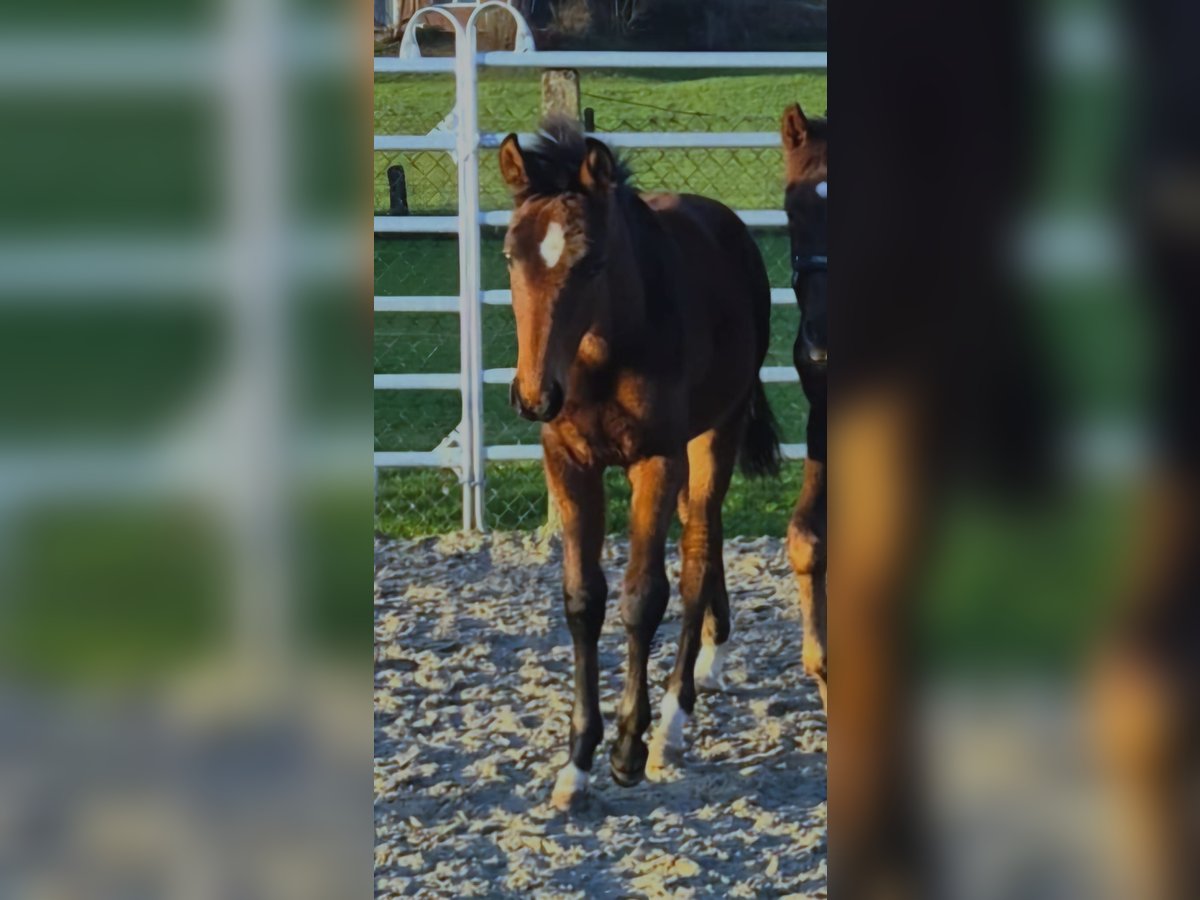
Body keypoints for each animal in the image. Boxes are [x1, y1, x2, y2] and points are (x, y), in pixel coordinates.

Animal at [494, 114, 777, 811]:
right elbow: (582, 600)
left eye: (591, 261)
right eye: (511, 255)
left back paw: (675, 718)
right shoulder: (567, 460)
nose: (534, 395)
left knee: (699, 551)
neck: (601, 354)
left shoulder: (656, 459)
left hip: (714, 434)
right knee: (707, 540)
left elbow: (644, 596)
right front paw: (576, 762)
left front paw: (627, 747)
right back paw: (711, 658)